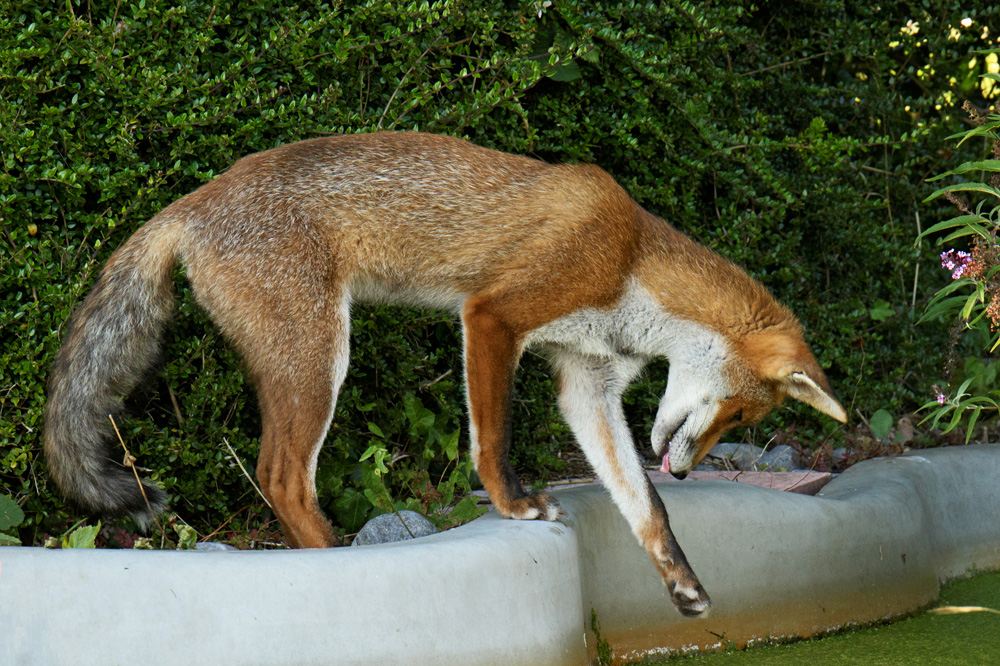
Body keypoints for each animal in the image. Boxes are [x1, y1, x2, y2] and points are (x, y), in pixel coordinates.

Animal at [45, 131, 846, 616]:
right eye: (742, 414)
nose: (684, 470)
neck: (636, 264)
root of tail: (190, 203)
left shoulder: (587, 380)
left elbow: (645, 507)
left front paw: (681, 580)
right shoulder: (494, 316)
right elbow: (492, 439)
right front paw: (515, 504)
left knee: (279, 478)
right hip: (319, 360)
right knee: (281, 477)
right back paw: (338, 563)